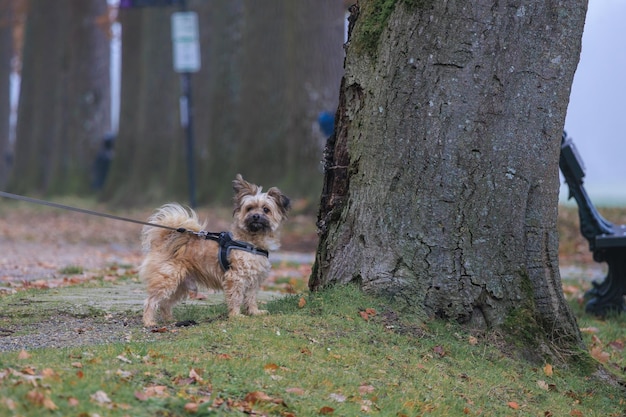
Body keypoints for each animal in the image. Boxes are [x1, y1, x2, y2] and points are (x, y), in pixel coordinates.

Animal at [140, 174, 288, 326]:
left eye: (266, 209)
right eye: (249, 208)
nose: (255, 216)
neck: (251, 241)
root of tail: (164, 240)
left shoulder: (254, 280)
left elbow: (251, 298)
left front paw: (254, 312)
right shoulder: (235, 278)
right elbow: (236, 297)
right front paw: (236, 316)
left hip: (180, 284)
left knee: (165, 303)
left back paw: (169, 319)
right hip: (167, 280)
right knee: (151, 301)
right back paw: (149, 321)